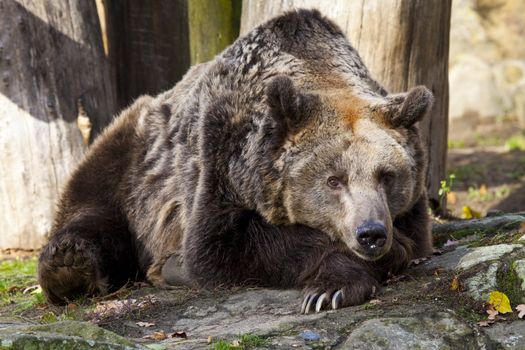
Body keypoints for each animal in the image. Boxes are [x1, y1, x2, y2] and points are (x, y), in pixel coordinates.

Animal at [36, 9, 432, 314]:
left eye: (386, 175)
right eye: (334, 179)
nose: (371, 234)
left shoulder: (410, 209)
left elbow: (413, 236)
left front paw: (339, 283)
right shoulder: (218, 158)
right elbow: (223, 246)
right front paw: (333, 286)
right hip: (132, 156)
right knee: (92, 201)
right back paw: (69, 264)